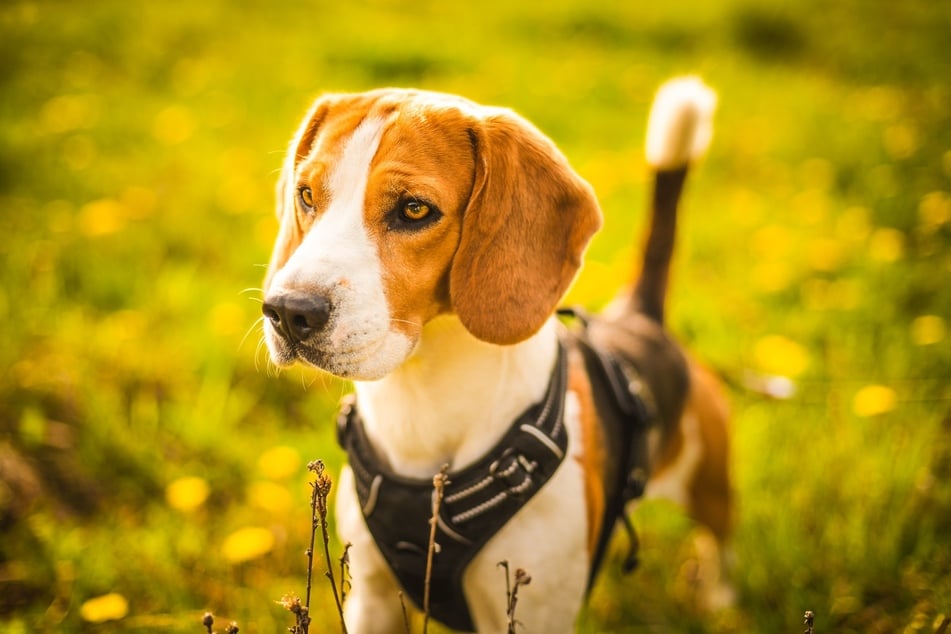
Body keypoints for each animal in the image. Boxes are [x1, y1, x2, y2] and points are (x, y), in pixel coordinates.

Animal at [260, 80, 736, 632]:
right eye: (306, 195)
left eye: (415, 210)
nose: (288, 310)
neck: (423, 398)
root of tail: (640, 317)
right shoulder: (371, 600)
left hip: (711, 484)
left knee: (723, 537)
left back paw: (722, 598)